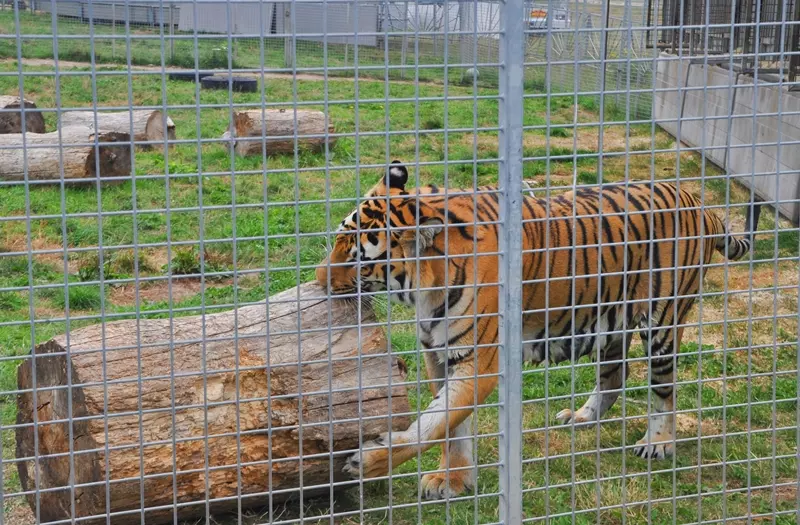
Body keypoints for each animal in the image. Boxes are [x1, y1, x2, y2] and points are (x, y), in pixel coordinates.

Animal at [314, 159, 764, 500]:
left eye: (357, 260)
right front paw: (452, 479)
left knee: (664, 391)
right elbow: (451, 428)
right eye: (335, 240)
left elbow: (435, 424)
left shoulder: (477, 362)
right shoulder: (438, 356)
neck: (423, 288)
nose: (319, 280)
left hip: (663, 323)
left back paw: (657, 444)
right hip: (610, 320)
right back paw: (581, 417)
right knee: (615, 375)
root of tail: (701, 204)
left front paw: (369, 460)